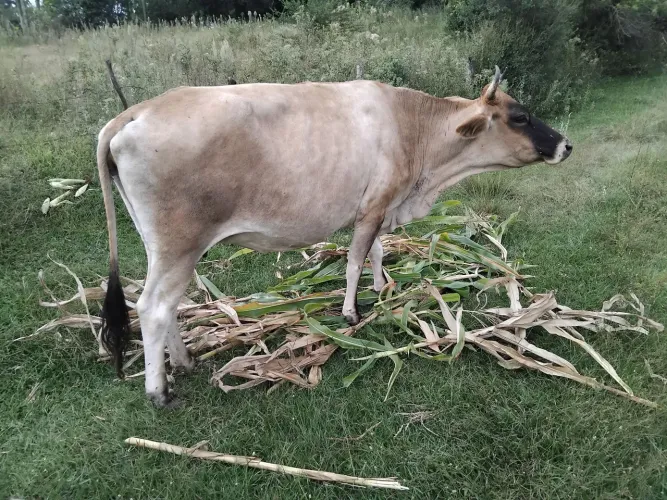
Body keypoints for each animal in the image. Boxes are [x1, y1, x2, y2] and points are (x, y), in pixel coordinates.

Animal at [96, 67, 572, 407]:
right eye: (520, 117)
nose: (566, 145)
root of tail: (133, 113)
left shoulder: (376, 206)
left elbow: (376, 252)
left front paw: (381, 288)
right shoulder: (375, 204)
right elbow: (355, 260)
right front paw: (350, 312)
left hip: (162, 247)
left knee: (167, 307)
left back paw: (183, 360)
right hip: (179, 245)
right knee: (153, 307)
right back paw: (160, 390)